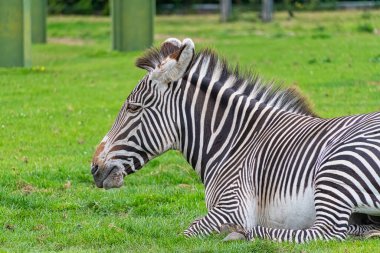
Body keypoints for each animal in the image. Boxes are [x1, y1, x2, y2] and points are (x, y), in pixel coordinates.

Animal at [91, 38, 380, 243]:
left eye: (133, 108)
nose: (94, 168)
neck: (233, 144)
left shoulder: (233, 207)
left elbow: (187, 230)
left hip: (337, 166)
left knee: (326, 232)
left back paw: (243, 234)